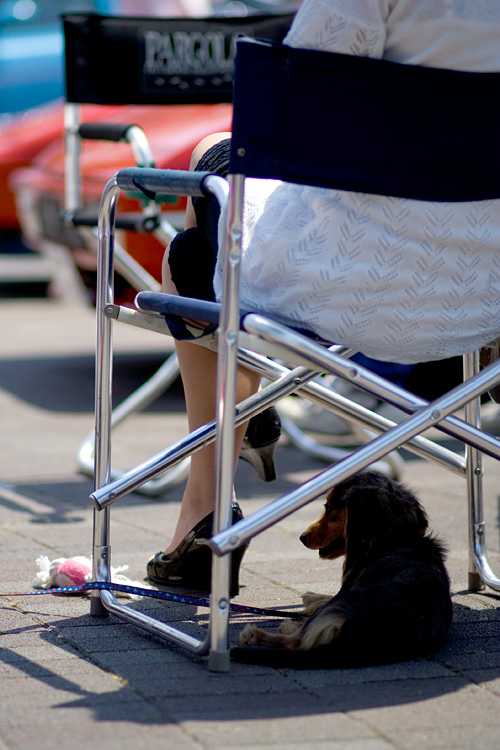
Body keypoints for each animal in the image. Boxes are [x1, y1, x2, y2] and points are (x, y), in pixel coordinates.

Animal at [230, 472, 454, 668]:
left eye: (329, 509)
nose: (302, 537)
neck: (396, 539)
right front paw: (312, 597)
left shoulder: (344, 589)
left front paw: (311, 598)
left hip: (333, 609)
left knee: (296, 641)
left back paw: (260, 634)